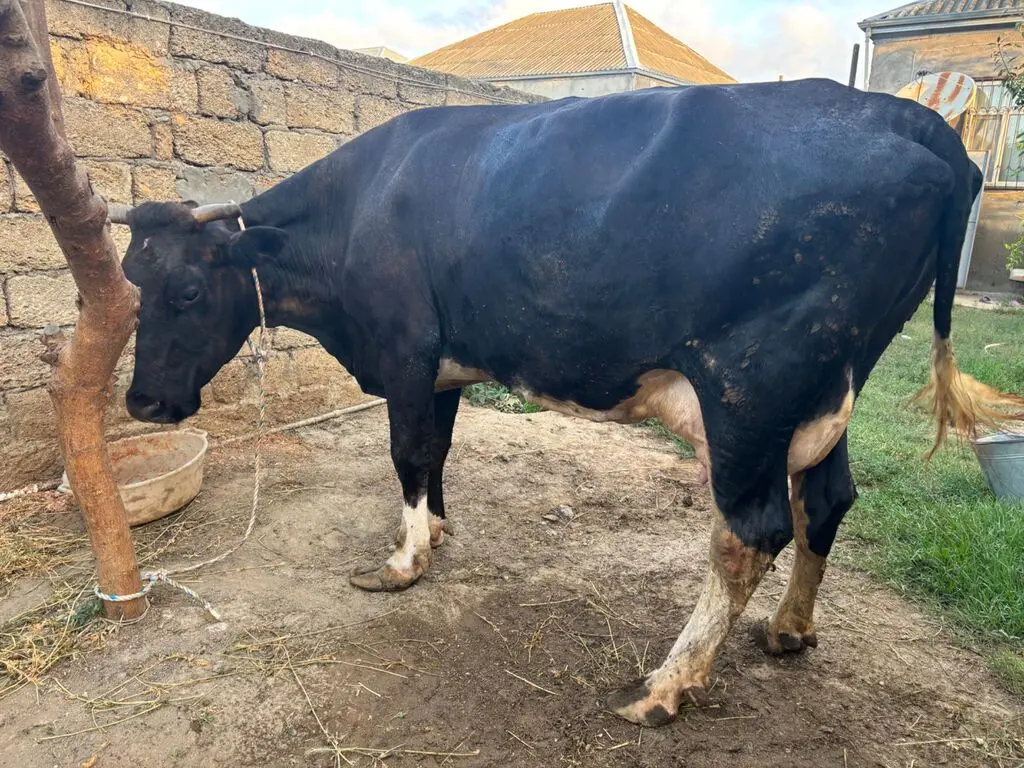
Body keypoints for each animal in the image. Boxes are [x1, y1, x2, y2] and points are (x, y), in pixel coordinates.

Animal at [109, 78, 1021, 728]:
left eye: (188, 289)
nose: (144, 402)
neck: (356, 213)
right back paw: (790, 629)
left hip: (750, 387)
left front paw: (403, 562)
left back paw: (667, 684)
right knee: (827, 500)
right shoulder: (442, 366)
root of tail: (907, 119)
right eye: (129, 278)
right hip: (825, 389)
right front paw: (437, 531)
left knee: (753, 530)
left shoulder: (403, 351)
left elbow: (403, 452)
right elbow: (435, 451)